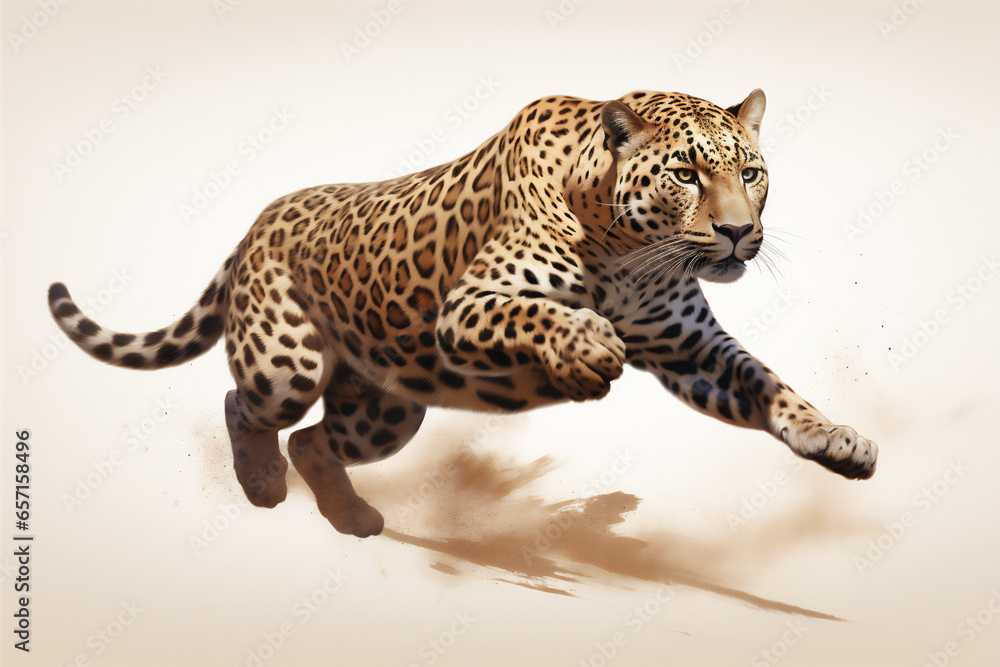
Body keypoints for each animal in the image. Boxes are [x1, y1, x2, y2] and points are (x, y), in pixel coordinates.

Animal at [48, 88, 878, 538]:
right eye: (685, 172)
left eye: (752, 171)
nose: (740, 231)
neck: (628, 249)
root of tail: (262, 216)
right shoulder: (469, 307)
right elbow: (541, 316)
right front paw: (586, 347)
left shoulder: (687, 347)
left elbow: (769, 385)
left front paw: (837, 438)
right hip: (288, 360)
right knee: (244, 405)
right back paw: (259, 484)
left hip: (387, 409)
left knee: (315, 441)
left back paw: (352, 519)